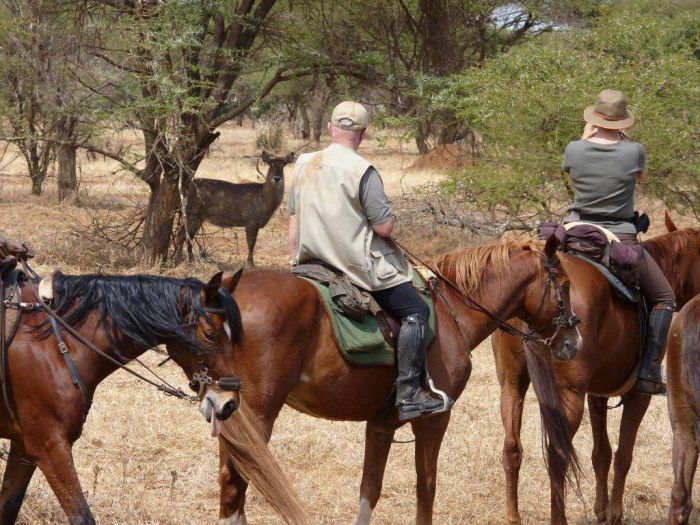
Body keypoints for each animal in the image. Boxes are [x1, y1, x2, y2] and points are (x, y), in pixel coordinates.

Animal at [0, 268, 300, 524]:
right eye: (210, 335)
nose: (228, 403)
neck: (56, 345)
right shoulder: (50, 447)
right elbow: (82, 516)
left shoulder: (24, 447)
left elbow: (8, 508)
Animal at [198, 238, 584, 524]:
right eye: (565, 286)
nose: (573, 342)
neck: (452, 313)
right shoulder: (434, 420)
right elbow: (426, 487)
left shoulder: (381, 425)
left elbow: (370, 488)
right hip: (256, 416)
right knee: (235, 485)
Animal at [490, 214, 700, 524]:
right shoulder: (639, 396)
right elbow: (624, 454)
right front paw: (614, 513)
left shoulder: (596, 394)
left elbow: (602, 454)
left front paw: (601, 510)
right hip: (568, 397)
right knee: (559, 456)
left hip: (512, 386)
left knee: (511, 447)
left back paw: (512, 516)